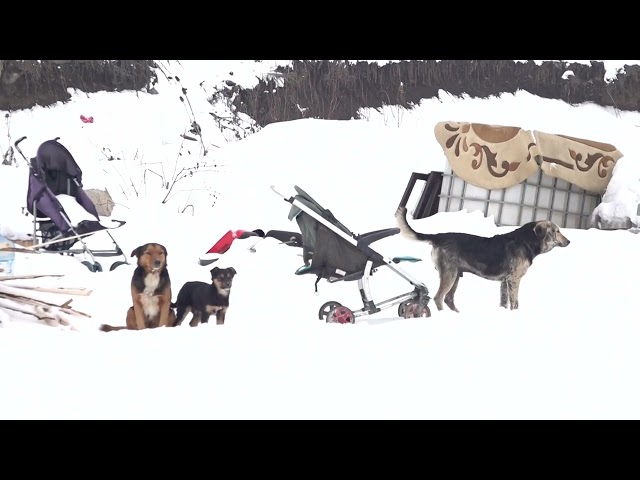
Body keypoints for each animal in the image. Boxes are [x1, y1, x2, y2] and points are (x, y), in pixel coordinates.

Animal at [396, 205, 568, 312]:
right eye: (557, 231)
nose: (569, 242)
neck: (527, 240)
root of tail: (439, 236)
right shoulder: (514, 280)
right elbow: (515, 303)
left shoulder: (505, 282)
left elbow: (503, 303)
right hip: (449, 274)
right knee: (439, 298)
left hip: (455, 275)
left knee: (448, 299)